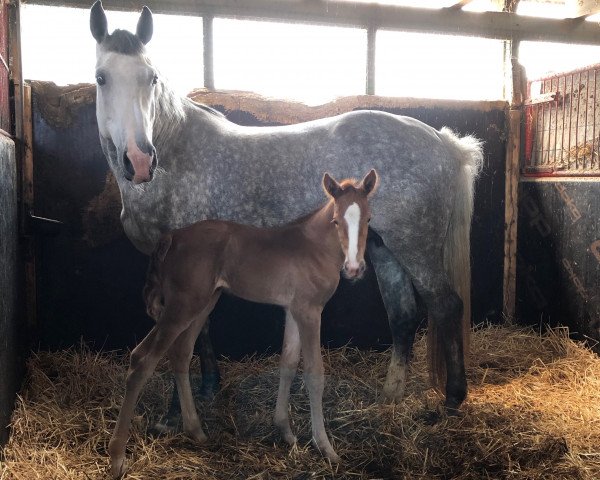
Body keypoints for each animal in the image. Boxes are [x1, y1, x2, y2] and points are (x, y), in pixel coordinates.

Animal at [89, 0, 482, 434]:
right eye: (101, 78)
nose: (140, 160)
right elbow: (200, 328)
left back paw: (453, 398)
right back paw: (391, 394)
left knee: (446, 305)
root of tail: (445, 142)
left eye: (152, 77)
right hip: (383, 247)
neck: (176, 156)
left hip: (416, 244)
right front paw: (209, 387)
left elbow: (183, 333)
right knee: (403, 314)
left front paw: (176, 412)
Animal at [107, 169, 378, 476]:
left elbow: (288, 362)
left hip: (203, 303)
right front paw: (325, 448)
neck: (314, 247)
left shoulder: (293, 309)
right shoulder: (310, 311)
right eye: (335, 220)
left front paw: (285, 431)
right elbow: (314, 373)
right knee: (142, 358)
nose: (354, 269)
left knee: (181, 354)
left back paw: (196, 431)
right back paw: (117, 457)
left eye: (368, 218)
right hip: (181, 306)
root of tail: (172, 236)